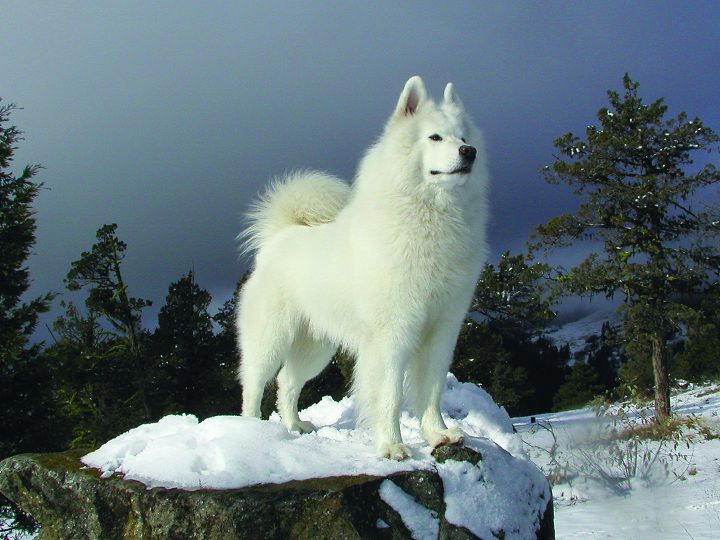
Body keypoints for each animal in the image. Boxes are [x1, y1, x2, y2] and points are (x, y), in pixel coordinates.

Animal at [236, 77, 490, 460]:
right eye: (435, 137)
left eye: (463, 136)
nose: (469, 151)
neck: (433, 217)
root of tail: (280, 235)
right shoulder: (392, 334)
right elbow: (389, 395)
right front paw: (392, 446)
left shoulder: (442, 329)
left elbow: (431, 391)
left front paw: (439, 435)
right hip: (272, 338)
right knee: (254, 382)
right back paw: (251, 430)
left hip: (315, 348)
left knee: (287, 381)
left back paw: (295, 425)